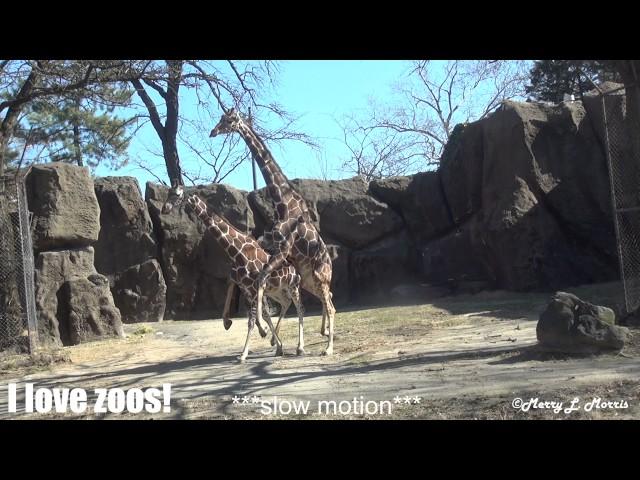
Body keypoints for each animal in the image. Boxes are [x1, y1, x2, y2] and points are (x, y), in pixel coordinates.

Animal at [185, 193, 308, 362]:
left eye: (177, 195)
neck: (237, 252)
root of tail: (295, 268)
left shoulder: (252, 288)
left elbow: (253, 320)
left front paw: (243, 354)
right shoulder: (243, 286)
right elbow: (259, 316)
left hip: (292, 286)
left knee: (300, 308)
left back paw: (300, 347)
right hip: (276, 290)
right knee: (285, 303)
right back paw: (276, 344)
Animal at [211, 109, 340, 356]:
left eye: (229, 120)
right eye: (220, 119)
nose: (213, 132)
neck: (282, 203)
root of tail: (330, 264)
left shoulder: (283, 247)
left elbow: (261, 277)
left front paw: (262, 327)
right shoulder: (269, 241)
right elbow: (243, 274)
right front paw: (229, 321)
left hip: (319, 276)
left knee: (329, 305)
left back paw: (326, 348)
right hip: (309, 280)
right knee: (328, 298)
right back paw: (324, 333)